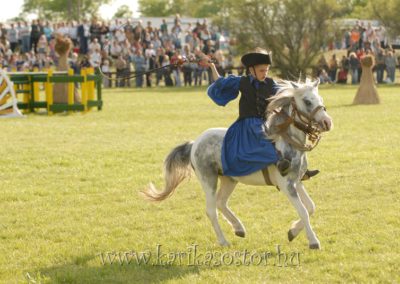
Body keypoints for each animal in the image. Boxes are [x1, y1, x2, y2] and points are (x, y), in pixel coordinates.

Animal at [142, 78, 332, 248]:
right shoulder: (287, 185)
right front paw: (313, 241)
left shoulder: (296, 182)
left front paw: (292, 232)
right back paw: (223, 241)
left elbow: (311, 207)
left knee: (221, 203)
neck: (286, 140)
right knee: (211, 210)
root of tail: (194, 144)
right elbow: (303, 211)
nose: (327, 123)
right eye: (307, 101)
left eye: (320, 99)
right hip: (208, 180)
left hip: (229, 179)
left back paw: (239, 228)